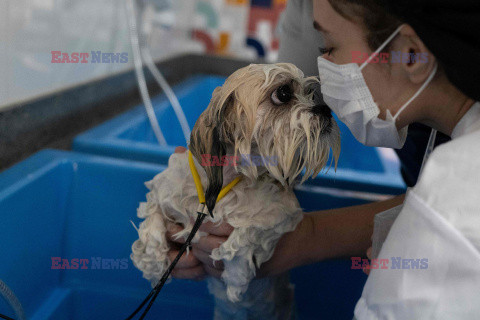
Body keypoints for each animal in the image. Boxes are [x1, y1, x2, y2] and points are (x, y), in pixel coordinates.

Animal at [131, 63, 342, 320]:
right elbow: (152, 222)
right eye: (283, 93)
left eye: (310, 94)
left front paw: (235, 276)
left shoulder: (284, 214)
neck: (222, 185)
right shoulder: (161, 194)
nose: (325, 109)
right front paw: (151, 263)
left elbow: (246, 233)